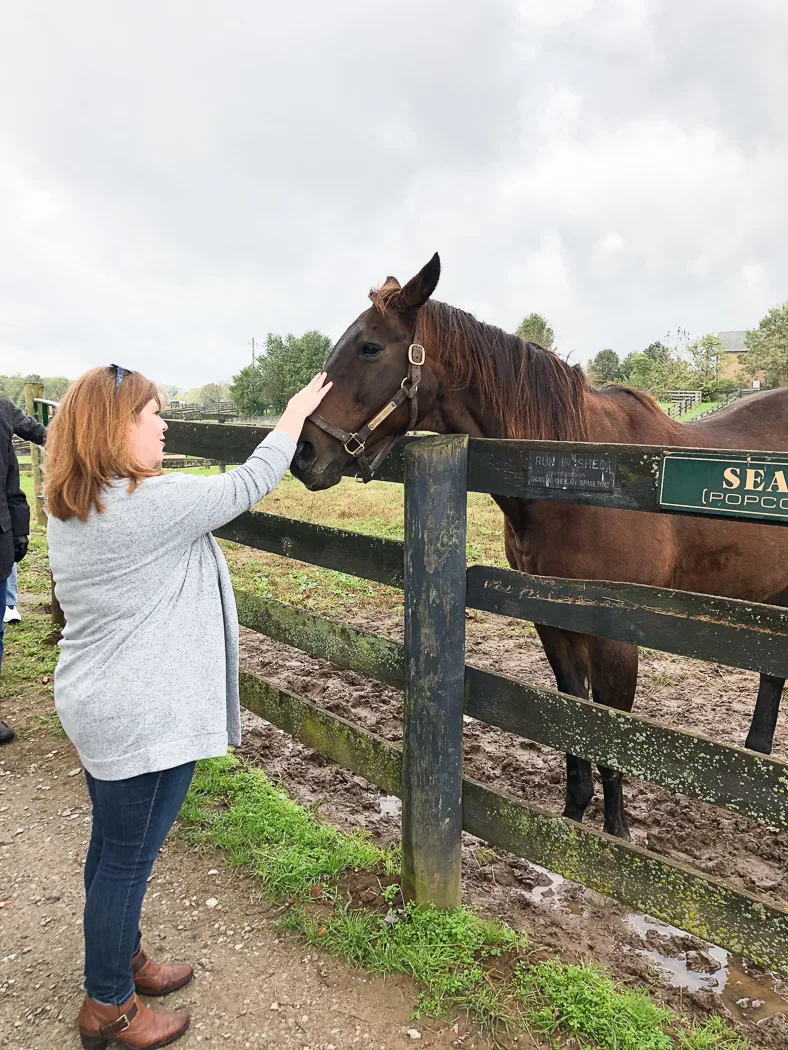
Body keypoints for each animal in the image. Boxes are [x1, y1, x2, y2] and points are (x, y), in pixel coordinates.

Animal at [294, 254, 788, 835]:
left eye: (370, 347)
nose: (303, 453)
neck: (574, 478)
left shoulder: (618, 635)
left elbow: (610, 734)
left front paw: (616, 834)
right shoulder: (552, 621)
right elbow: (572, 719)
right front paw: (572, 818)